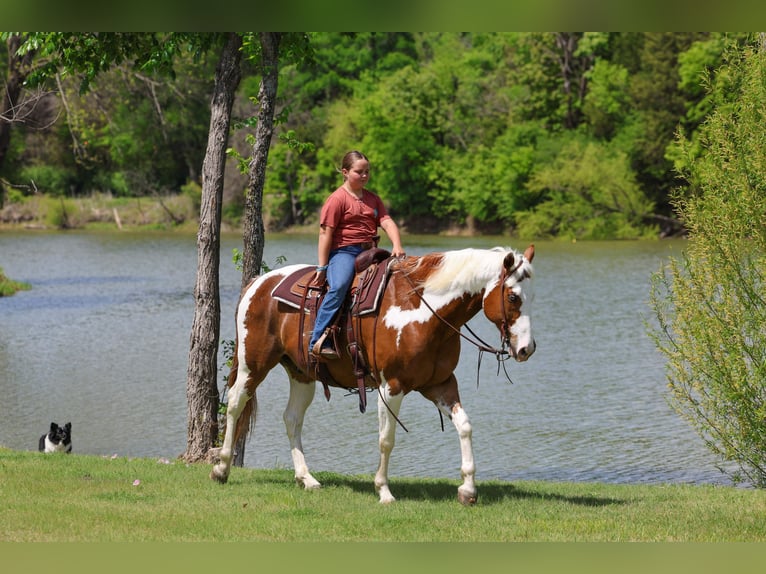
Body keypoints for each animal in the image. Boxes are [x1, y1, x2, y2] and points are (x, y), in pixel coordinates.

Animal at [210, 244, 536, 505]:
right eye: (513, 298)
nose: (527, 349)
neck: (423, 309)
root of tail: (258, 283)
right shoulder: (391, 386)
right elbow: (386, 439)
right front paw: (384, 491)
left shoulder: (440, 384)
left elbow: (465, 426)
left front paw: (468, 490)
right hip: (254, 364)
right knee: (236, 404)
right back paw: (221, 468)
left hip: (301, 373)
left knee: (292, 418)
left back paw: (307, 478)